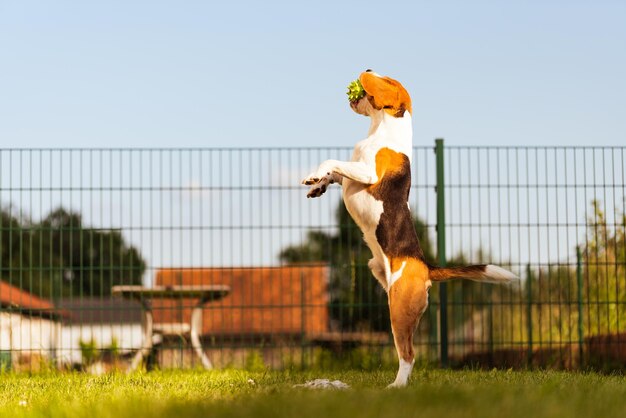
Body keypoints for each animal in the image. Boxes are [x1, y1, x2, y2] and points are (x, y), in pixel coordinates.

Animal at [302, 71, 516, 388]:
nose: (366, 68)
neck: (382, 129)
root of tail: (426, 267)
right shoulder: (352, 174)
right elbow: (337, 174)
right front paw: (319, 184)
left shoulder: (368, 173)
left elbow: (333, 161)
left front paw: (316, 174)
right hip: (381, 278)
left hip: (400, 310)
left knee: (409, 355)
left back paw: (397, 385)